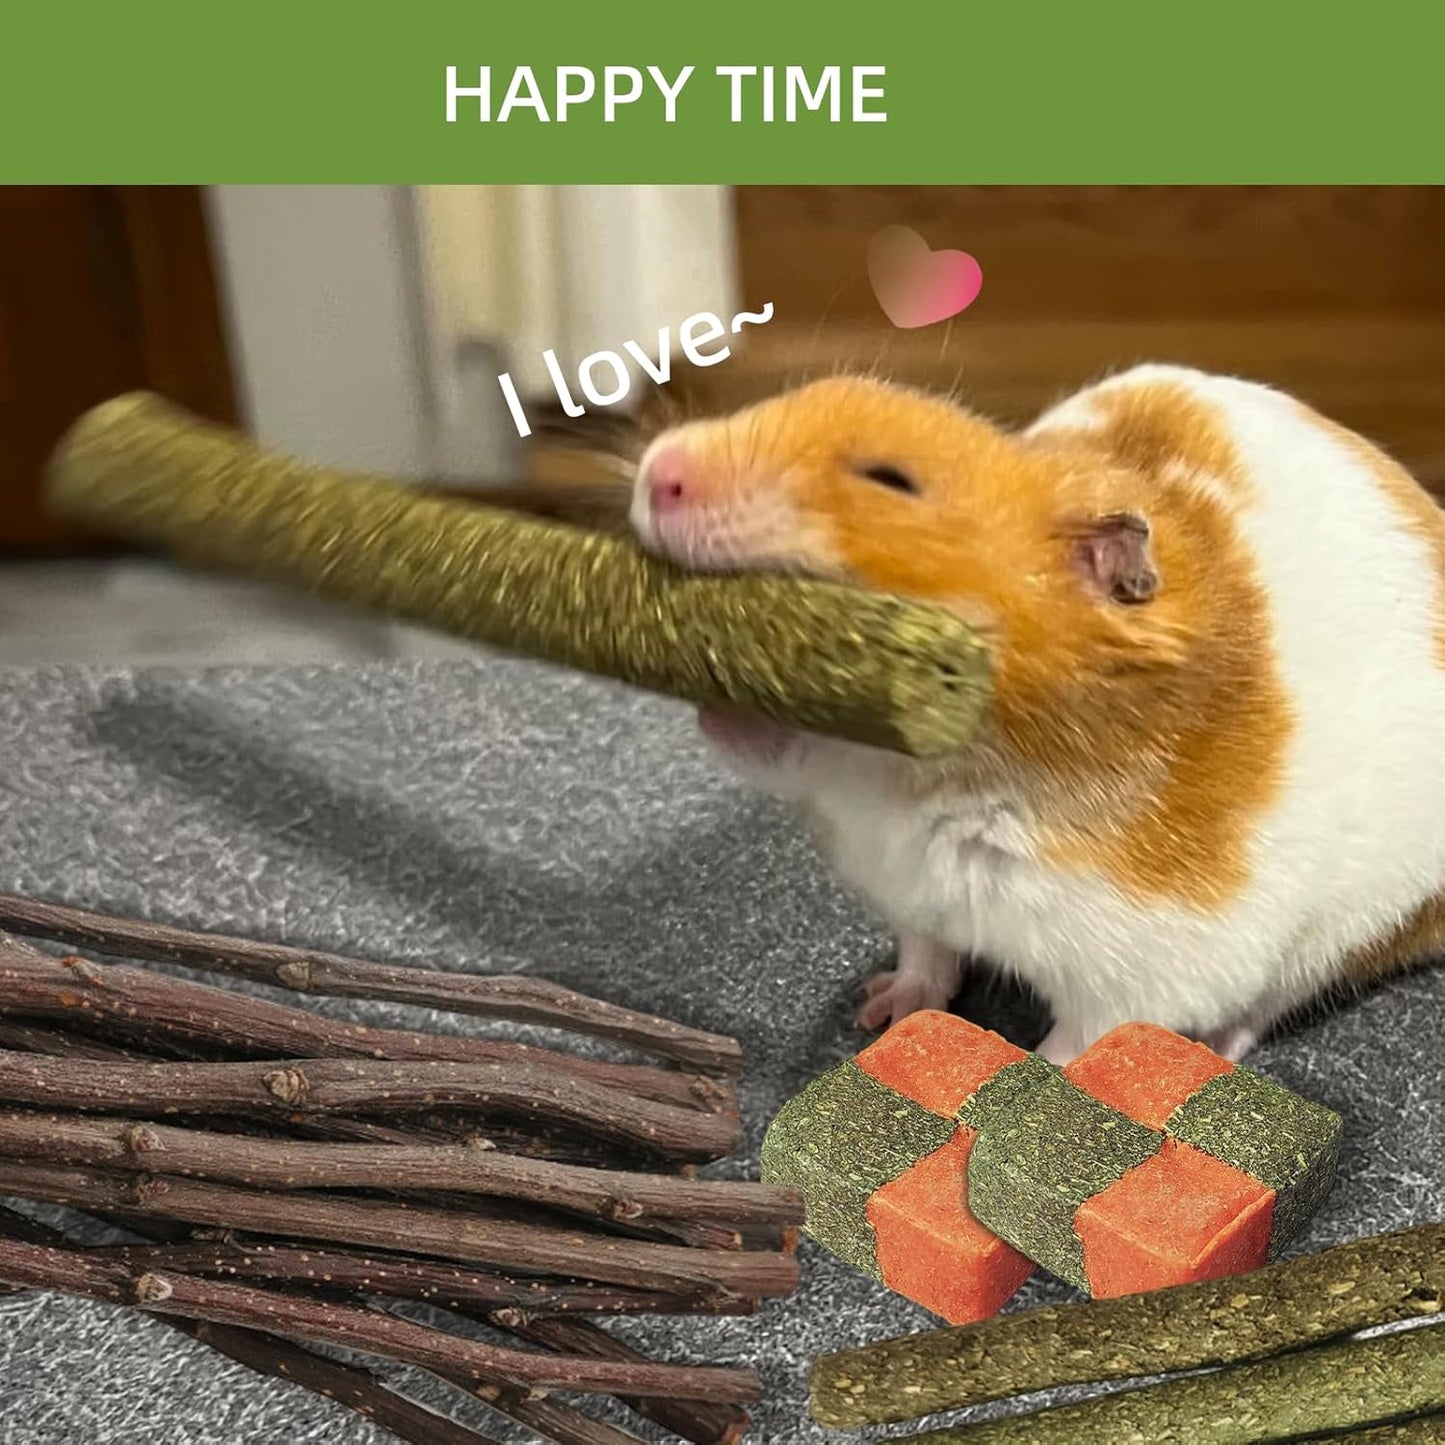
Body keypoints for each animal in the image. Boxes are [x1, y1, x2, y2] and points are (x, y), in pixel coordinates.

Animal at [618, 365, 1445, 1064]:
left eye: (890, 480)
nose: (658, 472)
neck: (926, 783)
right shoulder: (908, 888)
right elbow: (926, 953)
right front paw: (880, 1013)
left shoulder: (1141, 969)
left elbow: (1071, 1044)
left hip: (1349, 928)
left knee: (1272, 1001)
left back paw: (1218, 1045)